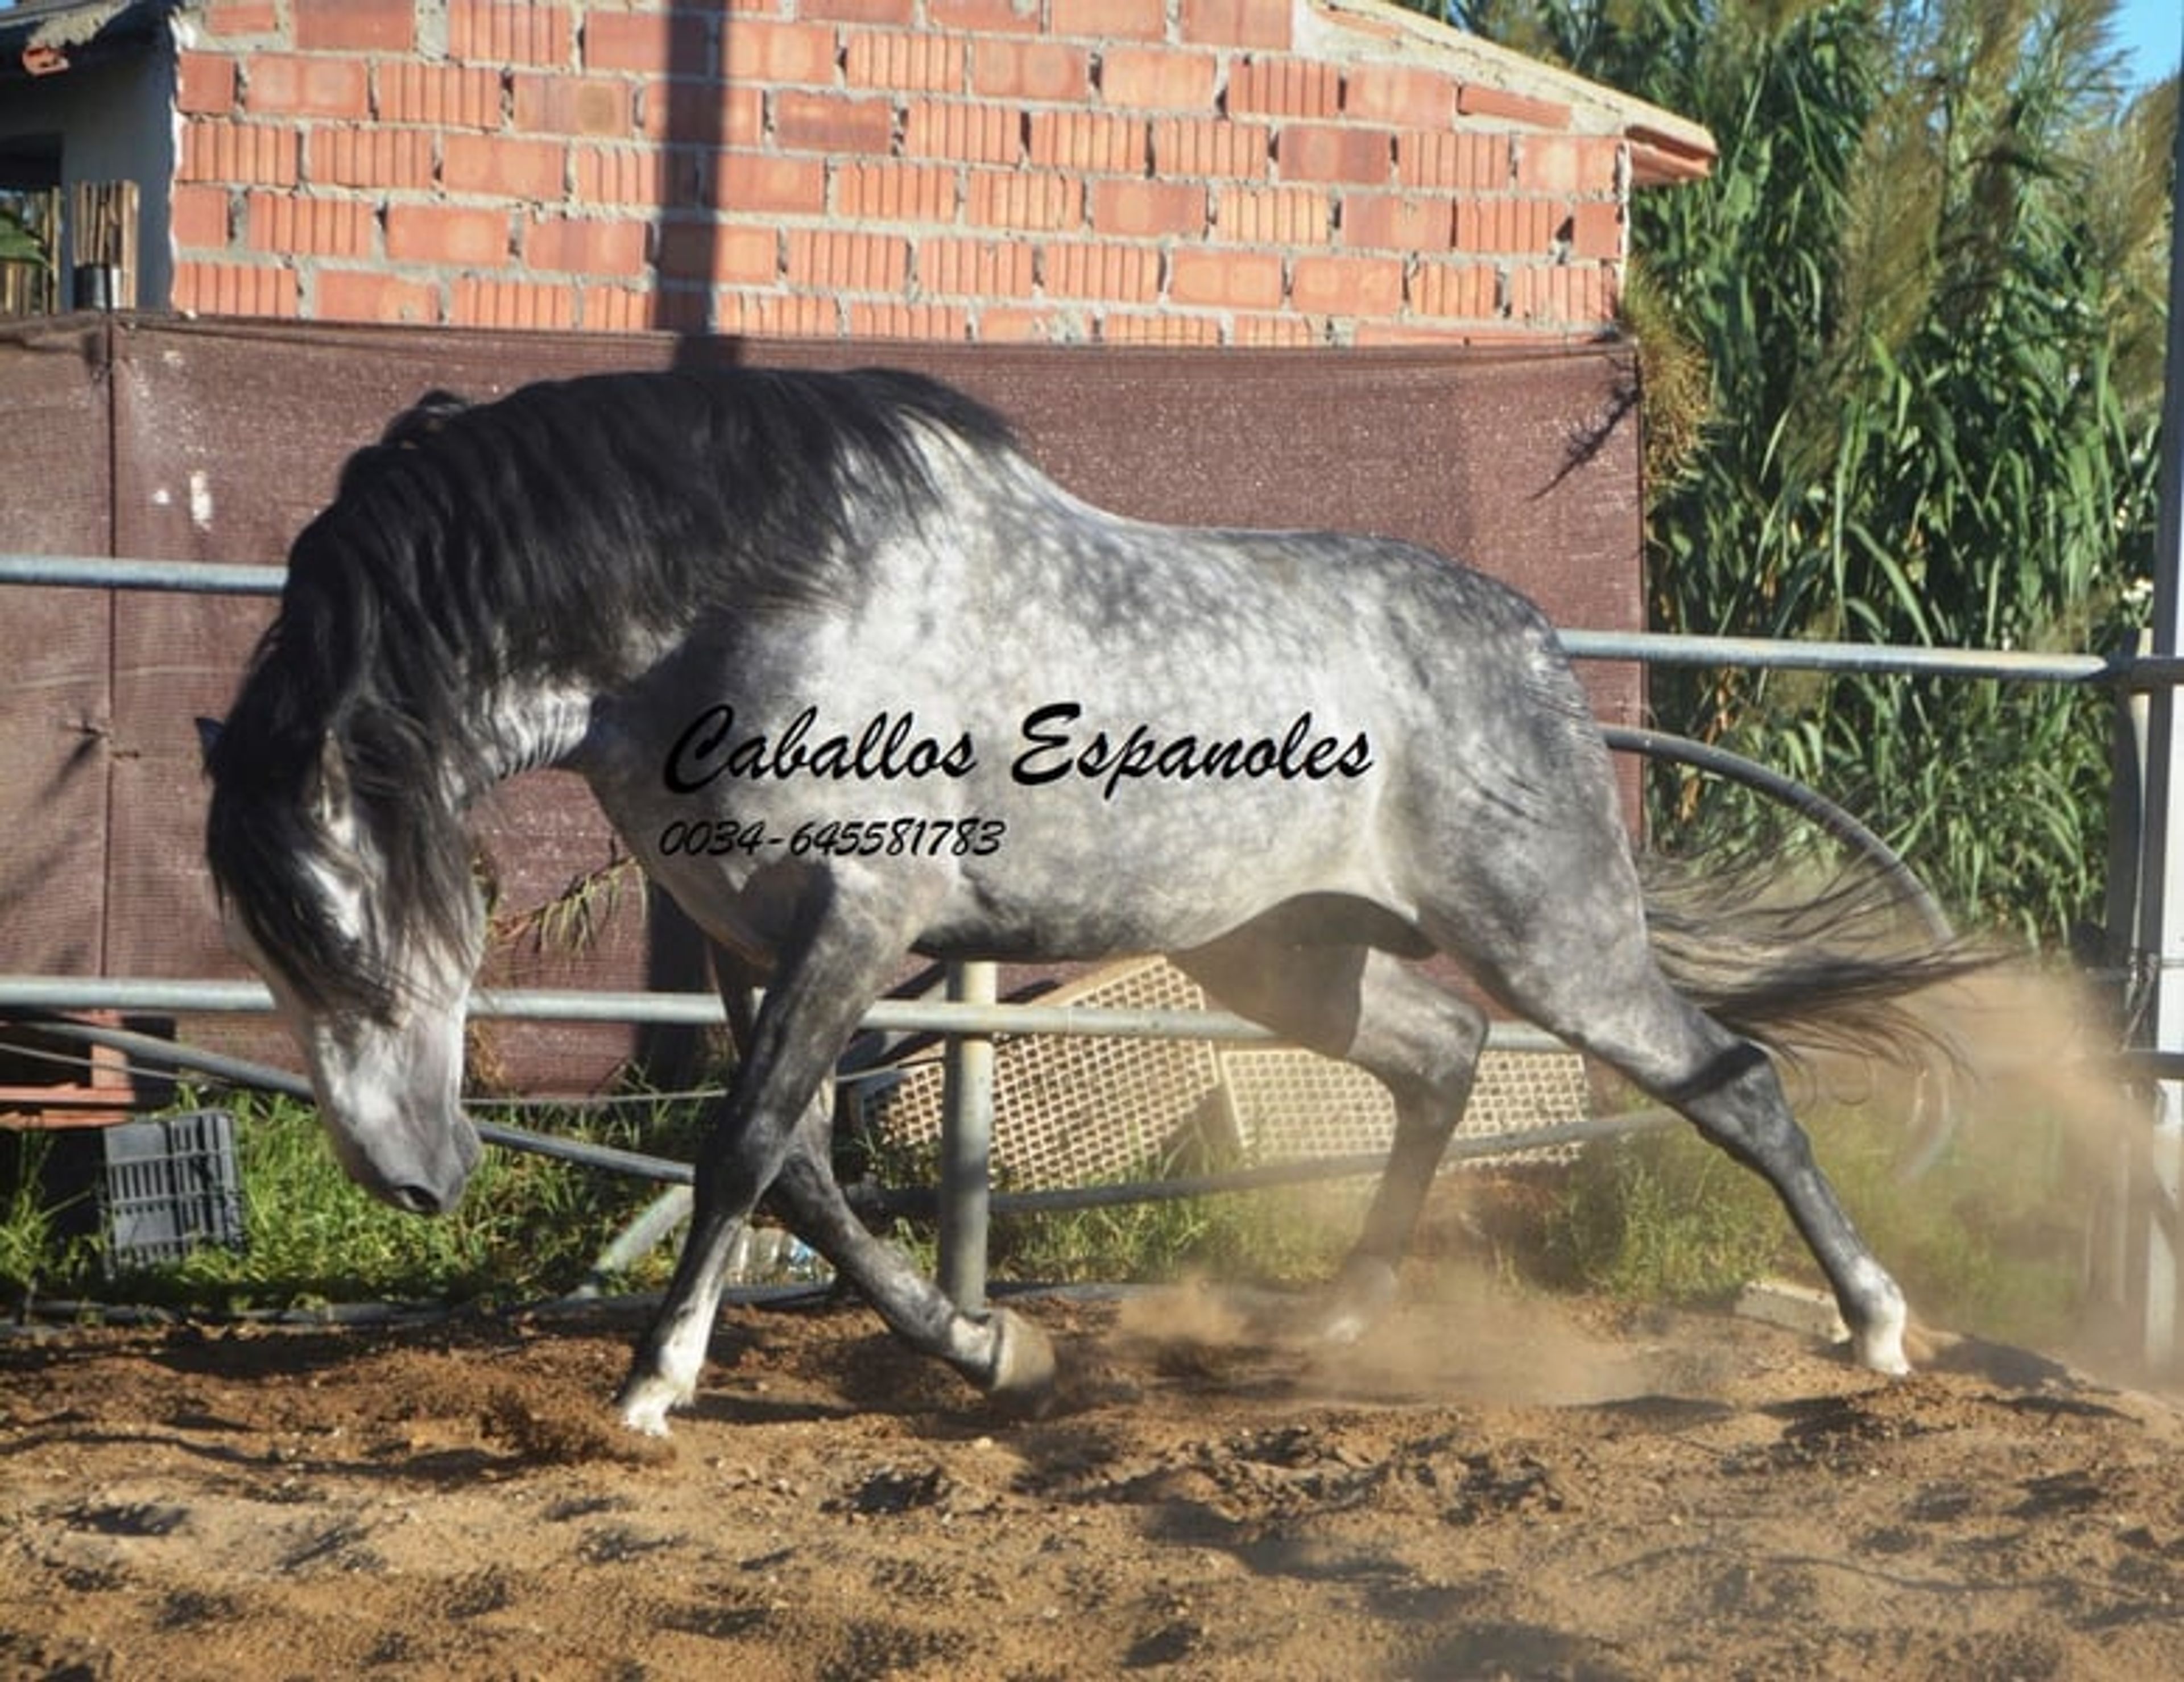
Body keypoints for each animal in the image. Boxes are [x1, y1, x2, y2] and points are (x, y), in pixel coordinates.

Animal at [204, 365, 1967, 1435]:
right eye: (261, 950)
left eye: (341, 923)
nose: (417, 1179)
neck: (740, 594)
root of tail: (1537, 647)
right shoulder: (739, 937)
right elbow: (800, 1180)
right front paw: (1000, 1347)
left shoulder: (861, 920)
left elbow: (742, 1145)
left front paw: (652, 1387)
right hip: (1286, 958)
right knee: (1441, 1059)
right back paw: (1339, 1325)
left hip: (1549, 939)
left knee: (1734, 1079)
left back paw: (1878, 1329)